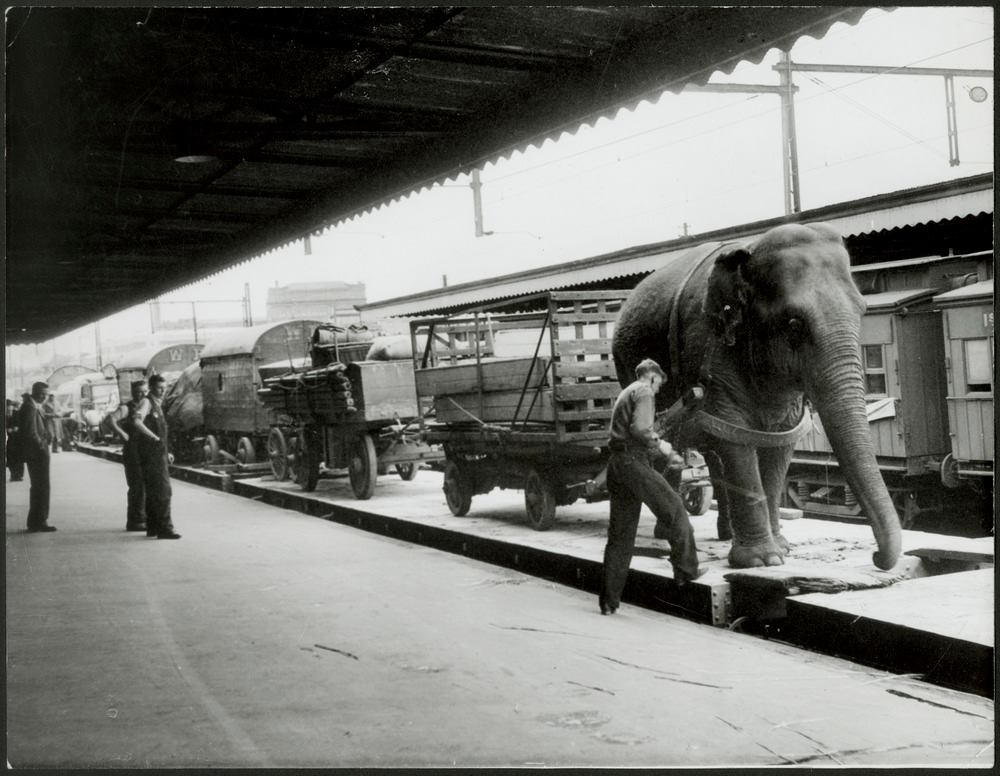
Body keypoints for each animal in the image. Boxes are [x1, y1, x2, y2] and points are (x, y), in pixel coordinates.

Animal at [612, 221, 904, 572]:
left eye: (863, 311)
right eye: (794, 323)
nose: (877, 557)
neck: (749, 250)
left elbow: (780, 439)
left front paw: (782, 548)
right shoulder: (707, 345)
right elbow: (735, 434)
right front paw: (762, 560)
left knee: (710, 453)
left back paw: (724, 533)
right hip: (626, 366)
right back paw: (665, 532)